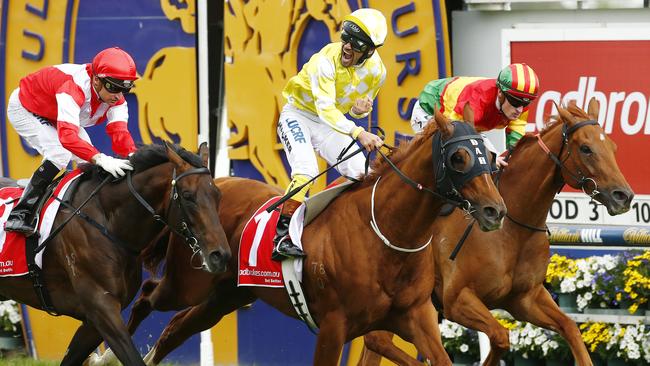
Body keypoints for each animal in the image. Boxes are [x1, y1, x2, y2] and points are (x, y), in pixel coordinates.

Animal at [0, 143, 230, 366]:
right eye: (188, 196)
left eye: (218, 195)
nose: (221, 255)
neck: (106, 222)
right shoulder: (102, 309)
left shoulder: (93, 322)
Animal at [356, 98, 632, 366]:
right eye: (586, 148)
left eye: (614, 148)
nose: (624, 196)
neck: (513, 228)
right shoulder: (457, 300)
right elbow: (500, 336)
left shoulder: (526, 298)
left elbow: (570, 327)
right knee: (377, 341)